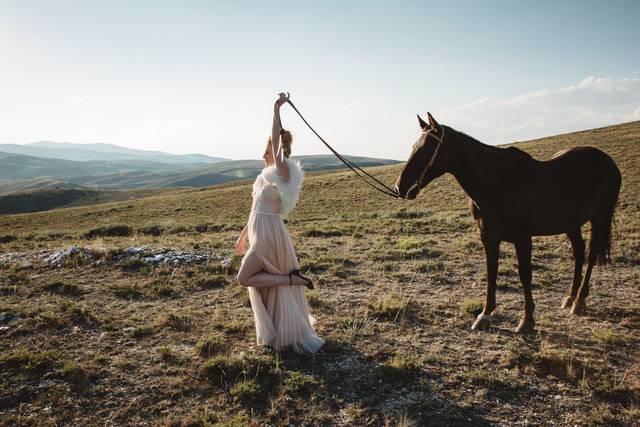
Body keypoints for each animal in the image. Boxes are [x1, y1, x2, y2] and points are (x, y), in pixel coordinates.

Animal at [396, 113, 620, 334]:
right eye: (414, 147)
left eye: (426, 150)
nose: (400, 187)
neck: (498, 182)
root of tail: (607, 161)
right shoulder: (488, 237)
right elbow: (491, 273)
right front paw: (485, 315)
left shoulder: (523, 238)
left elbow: (525, 275)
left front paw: (527, 320)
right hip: (571, 223)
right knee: (579, 252)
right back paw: (570, 297)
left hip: (600, 218)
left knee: (591, 255)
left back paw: (579, 300)